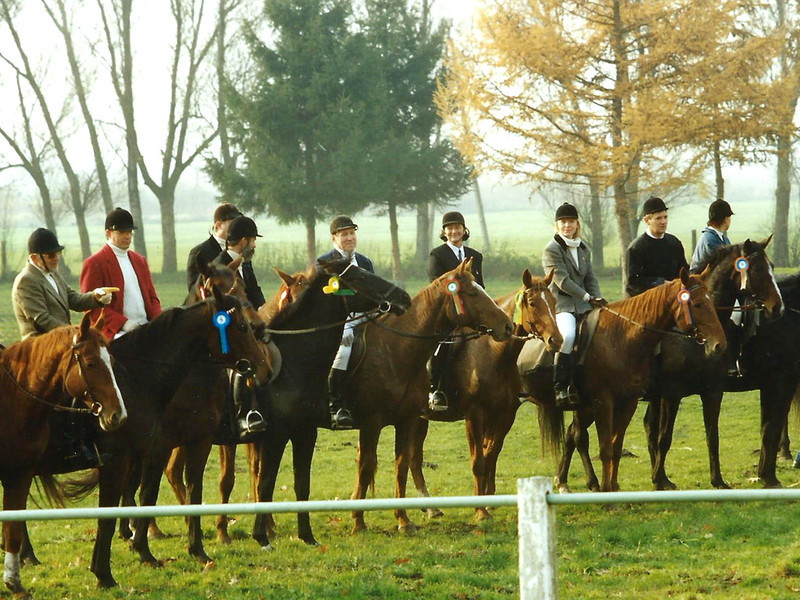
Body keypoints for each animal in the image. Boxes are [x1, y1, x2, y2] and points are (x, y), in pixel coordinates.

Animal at [1, 312, 127, 596]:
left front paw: (15, 584)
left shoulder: (19, 474)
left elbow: (13, 528)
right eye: (90, 362)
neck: (13, 398)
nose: (118, 415)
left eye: (112, 361)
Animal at [412, 268, 564, 520]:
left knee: (412, 459)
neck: (494, 354)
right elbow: (478, 462)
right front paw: (481, 511)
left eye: (553, 302)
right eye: (533, 303)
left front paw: (489, 502)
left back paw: (430, 507)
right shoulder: (475, 416)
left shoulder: (504, 415)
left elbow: (491, 455)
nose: (556, 340)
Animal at [528, 268, 728, 492]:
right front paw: (609, 490)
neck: (621, 338)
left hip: (583, 407)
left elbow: (616, 446)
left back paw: (569, 481)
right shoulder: (606, 402)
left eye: (711, 300)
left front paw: (614, 487)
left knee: (575, 435)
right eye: (698, 304)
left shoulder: (629, 402)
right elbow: (609, 448)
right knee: (578, 436)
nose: (720, 344)